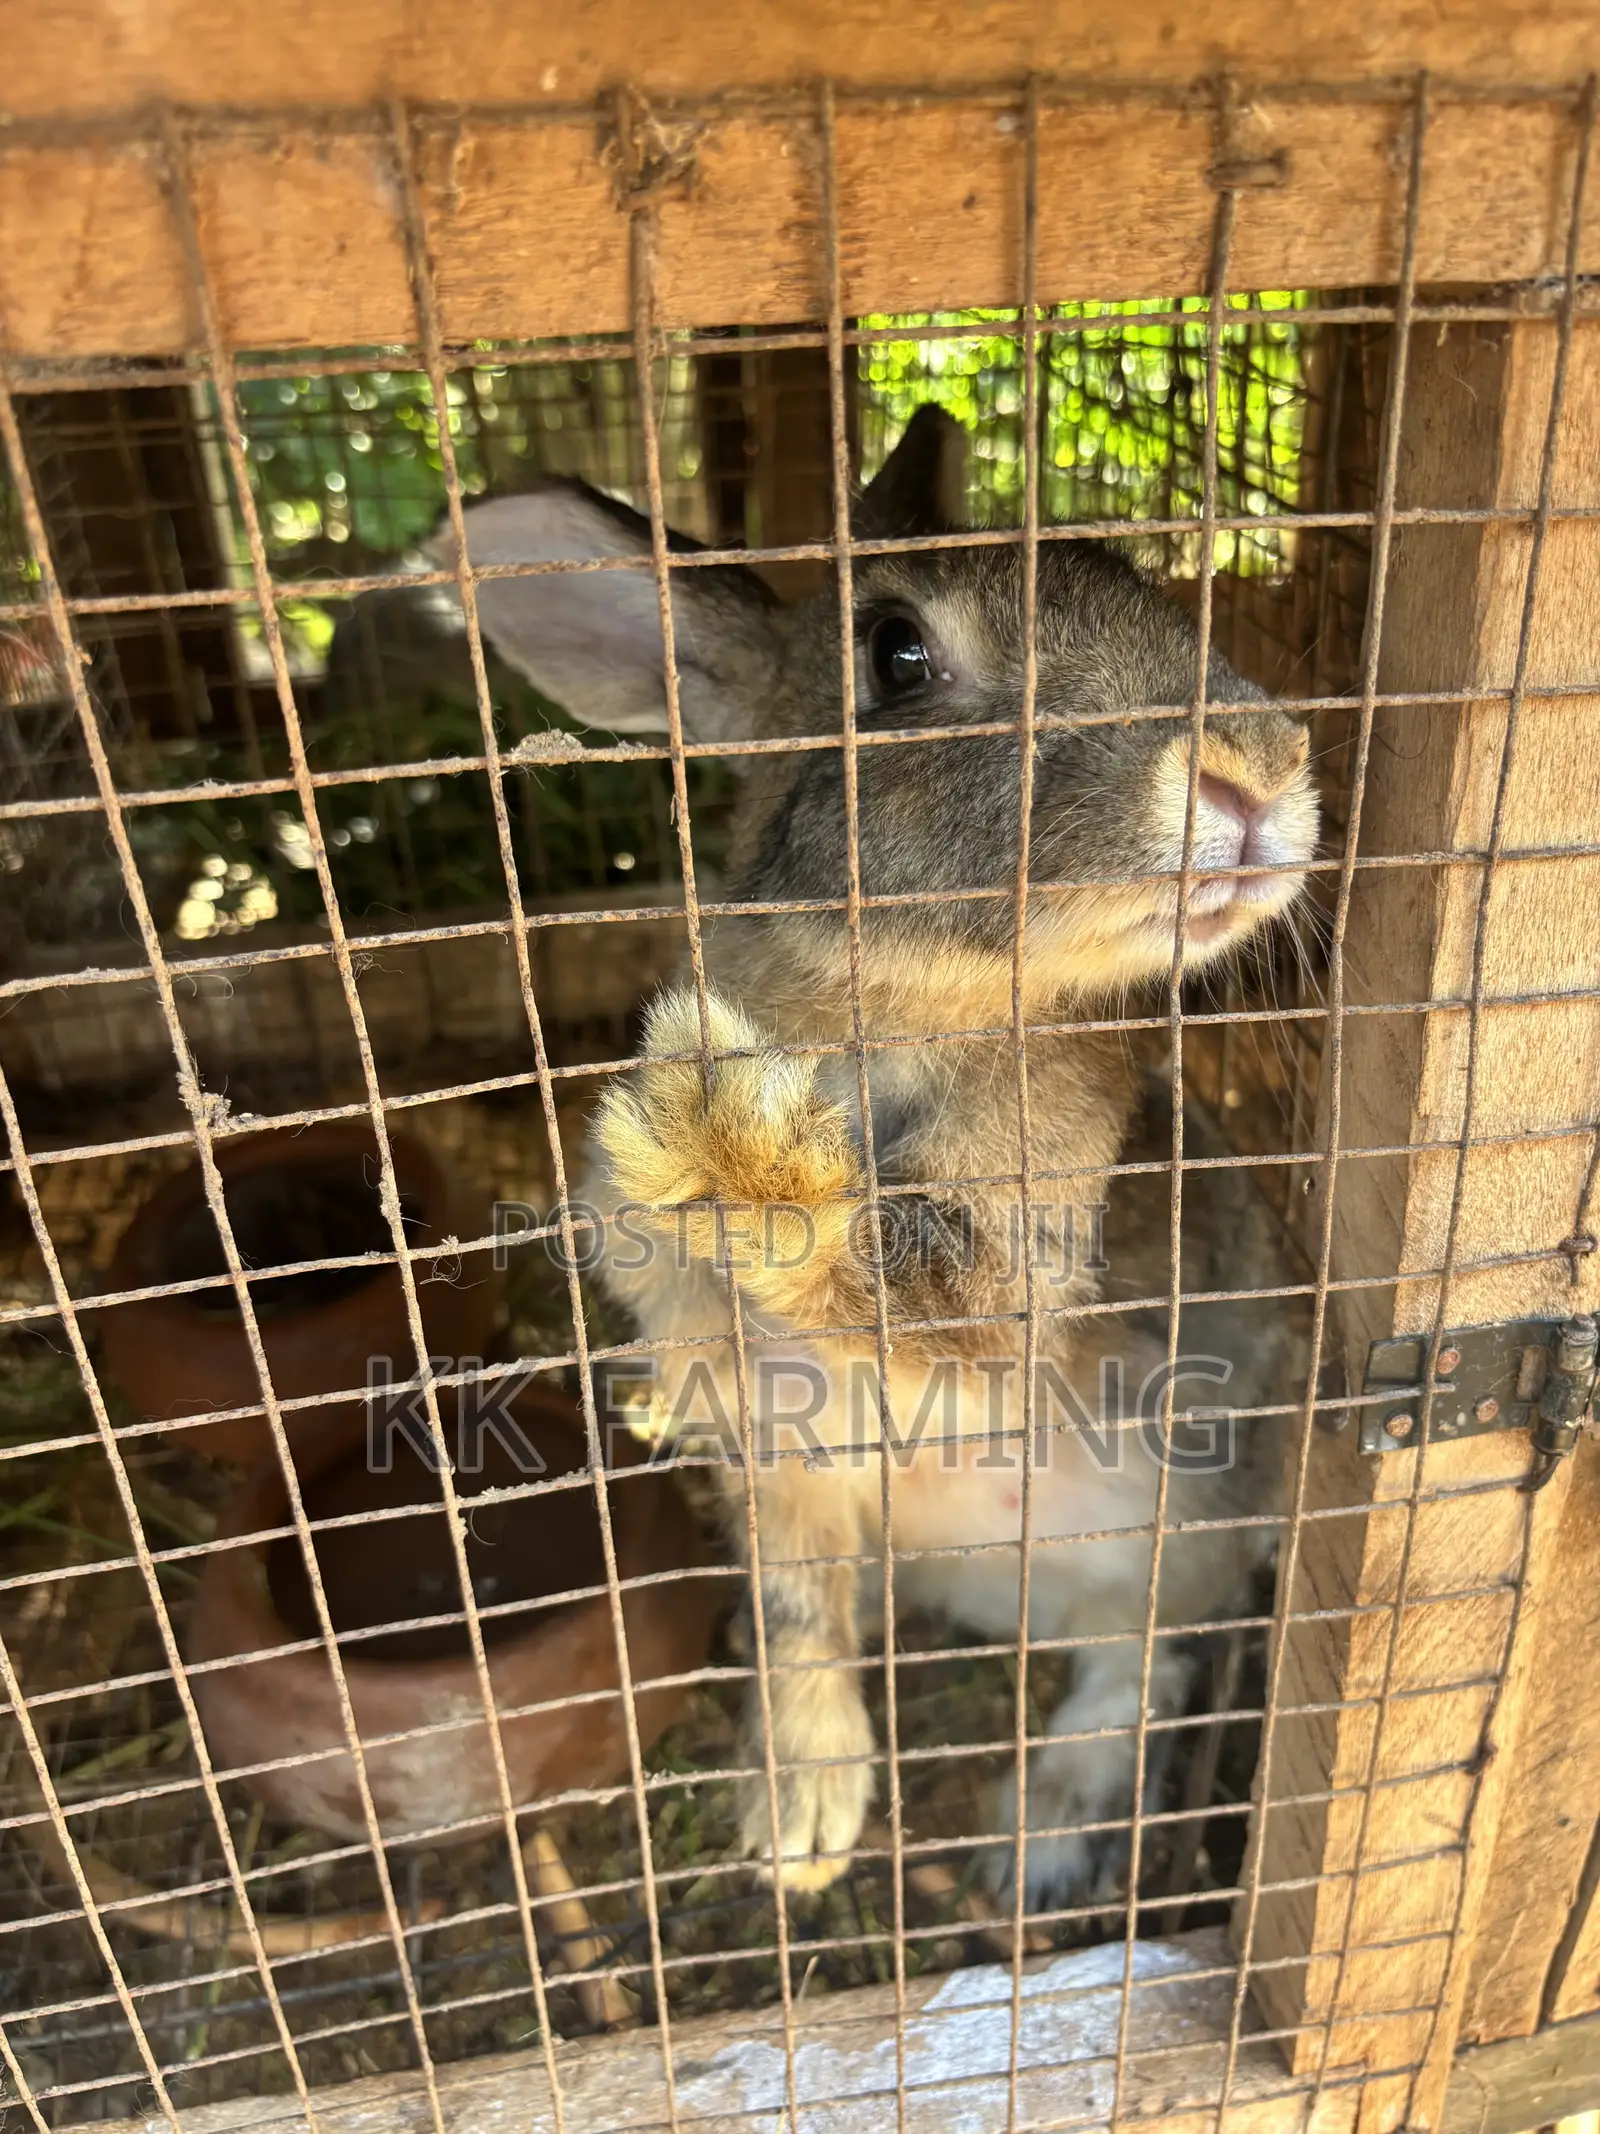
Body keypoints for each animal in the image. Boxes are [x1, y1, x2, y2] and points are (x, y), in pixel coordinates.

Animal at [440, 405, 1319, 1912]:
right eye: (897, 654)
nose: (1258, 765)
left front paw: (721, 1123)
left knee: (1146, 1668)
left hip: (1182, 1533)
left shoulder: (1006, 1269)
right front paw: (798, 1824)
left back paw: (1037, 1835)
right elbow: (799, 1617)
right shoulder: (762, 1437)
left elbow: (900, 1277)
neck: (881, 1002)